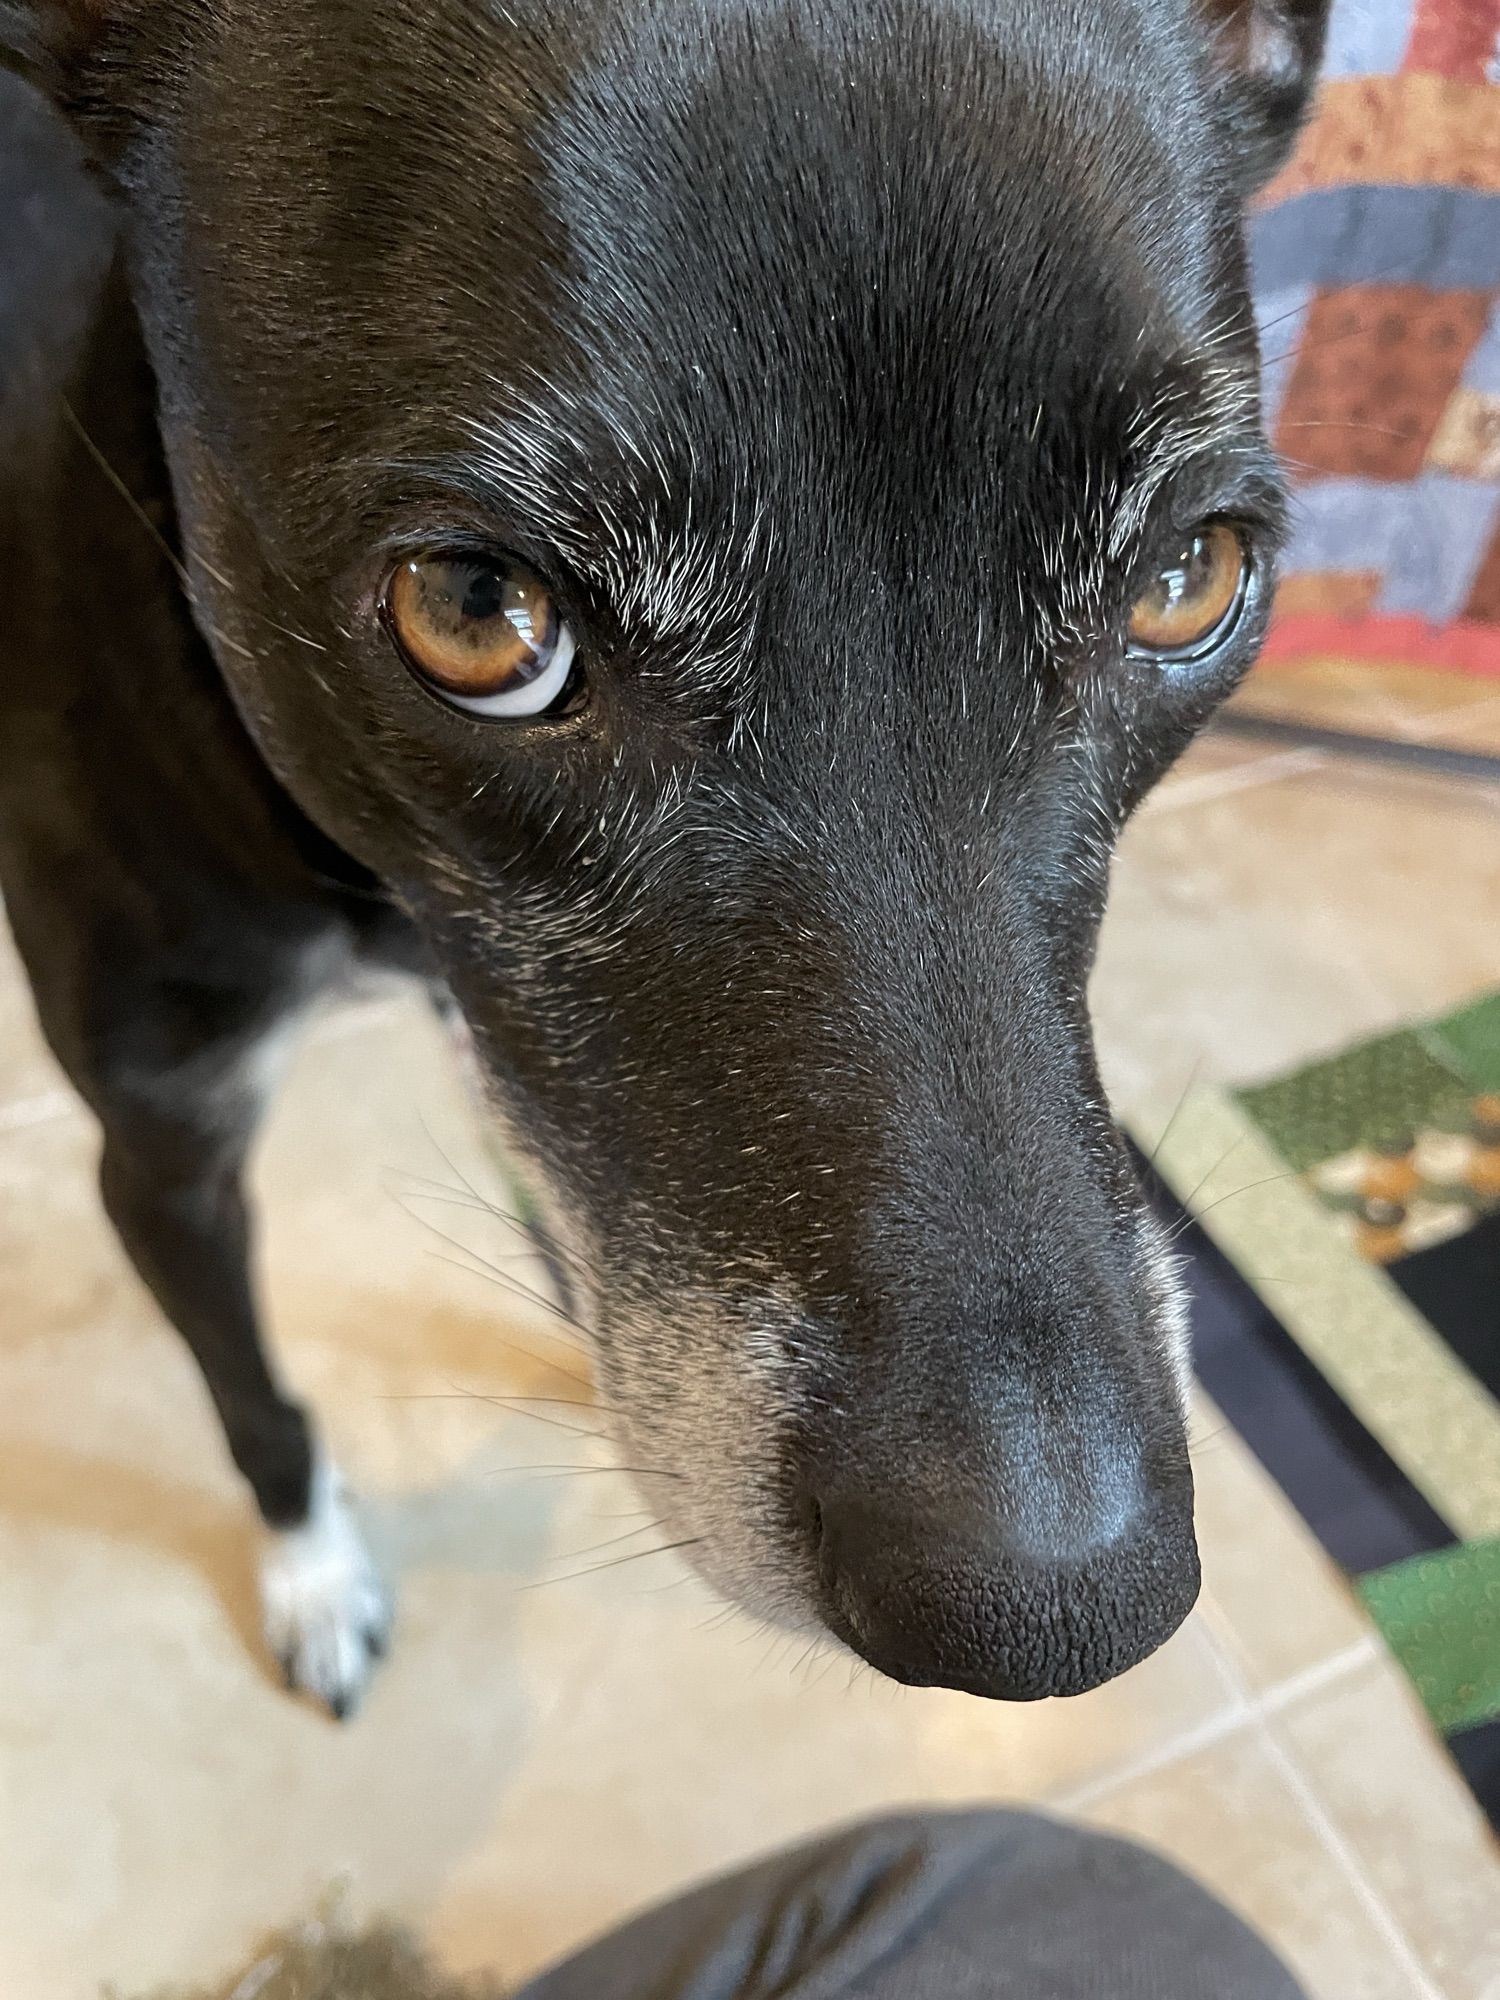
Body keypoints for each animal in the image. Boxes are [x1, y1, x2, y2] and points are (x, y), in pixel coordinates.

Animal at [0, 0, 1328, 1720]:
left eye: (1190, 577)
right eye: (478, 611)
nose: (1056, 1617)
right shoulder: (164, 1151)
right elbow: (253, 1398)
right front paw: (314, 1572)